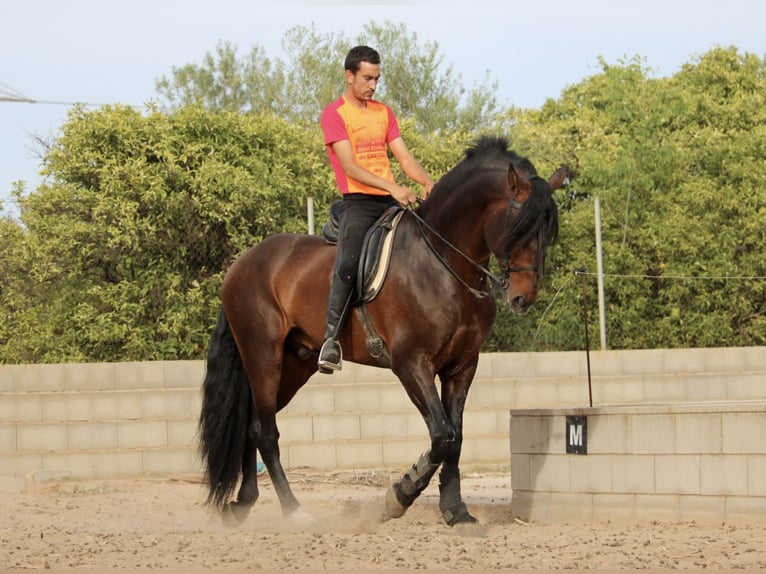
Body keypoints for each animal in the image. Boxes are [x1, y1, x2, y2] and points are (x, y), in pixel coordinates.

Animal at [198, 136, 568, 536]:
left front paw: (457, 512)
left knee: (252, 426)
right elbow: (442, 436)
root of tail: (240, 265)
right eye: (519, 228)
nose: (522, 299)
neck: (443, 263)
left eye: (547, 234)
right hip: (263, 356)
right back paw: (294, 512)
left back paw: (242, 504)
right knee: (265, 431)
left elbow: (455, 439)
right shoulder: (411, 364)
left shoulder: (462, 367)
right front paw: (399, 496)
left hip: (294, 365)